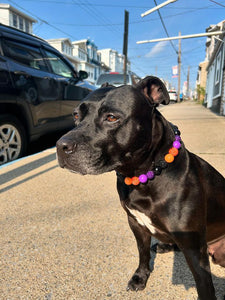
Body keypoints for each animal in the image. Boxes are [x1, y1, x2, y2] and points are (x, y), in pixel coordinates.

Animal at [56, 76, 225, 298]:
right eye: (76, 115)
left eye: (111, 117)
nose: (61, 146)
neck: (144, 176)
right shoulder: (136, 223)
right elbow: (142, 253)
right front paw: (140, 276)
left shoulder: (193, 246)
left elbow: (204, 283)